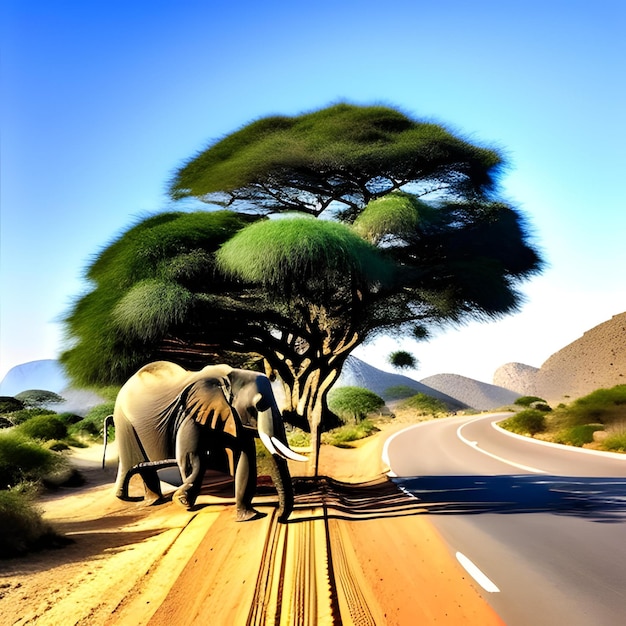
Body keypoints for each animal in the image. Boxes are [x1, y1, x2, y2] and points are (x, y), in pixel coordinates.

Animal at [103, 358, 306, 520]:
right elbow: (191, 457)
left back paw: (152, 501)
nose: (278, 518)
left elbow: (245, 459)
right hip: (124, 423)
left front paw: (250, 517)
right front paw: (182, 502)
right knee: (133, 464)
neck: (226, 379)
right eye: (257, 405)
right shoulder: (190, 414)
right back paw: (131, 498)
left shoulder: (230, 416)